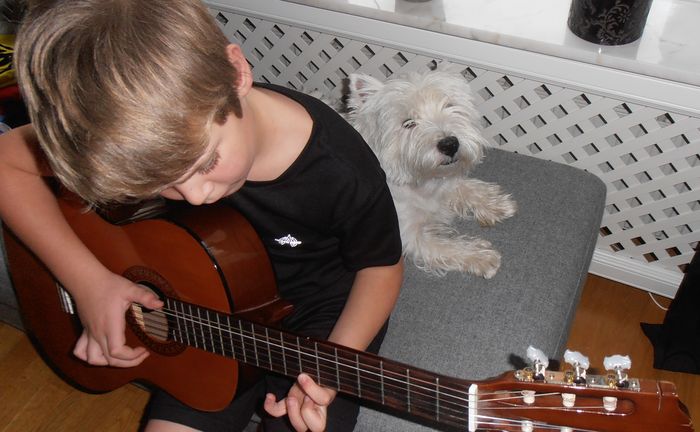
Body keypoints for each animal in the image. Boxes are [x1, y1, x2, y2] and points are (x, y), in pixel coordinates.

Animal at [343, 67, 517, 278]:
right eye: (408, 123)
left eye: (449, 105)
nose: (450, 144)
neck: (420, 184)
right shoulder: (407, 234)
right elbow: (448, 247)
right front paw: (485, 258)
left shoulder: (445, 182)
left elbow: (466, 187)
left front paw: (498, 204)